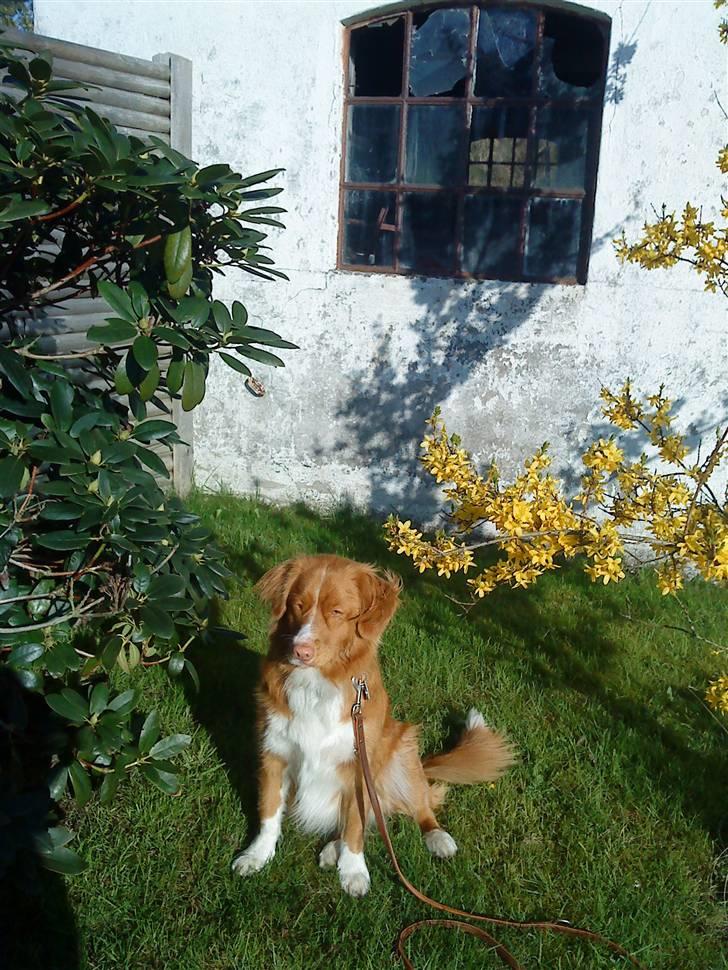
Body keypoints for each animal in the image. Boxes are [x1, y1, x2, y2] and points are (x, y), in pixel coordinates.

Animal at [230, 552, 516, 892]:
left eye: (337, 612)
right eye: (298, 605)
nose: (302, 651)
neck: (318, 683)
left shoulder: (359, 764)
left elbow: (355, 823)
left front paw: (353, 869)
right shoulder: (274, 753)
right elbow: (269, 812)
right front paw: (257, 855)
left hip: (402, 749)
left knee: (421, 805)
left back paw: (436, 838)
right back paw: (332, 849)